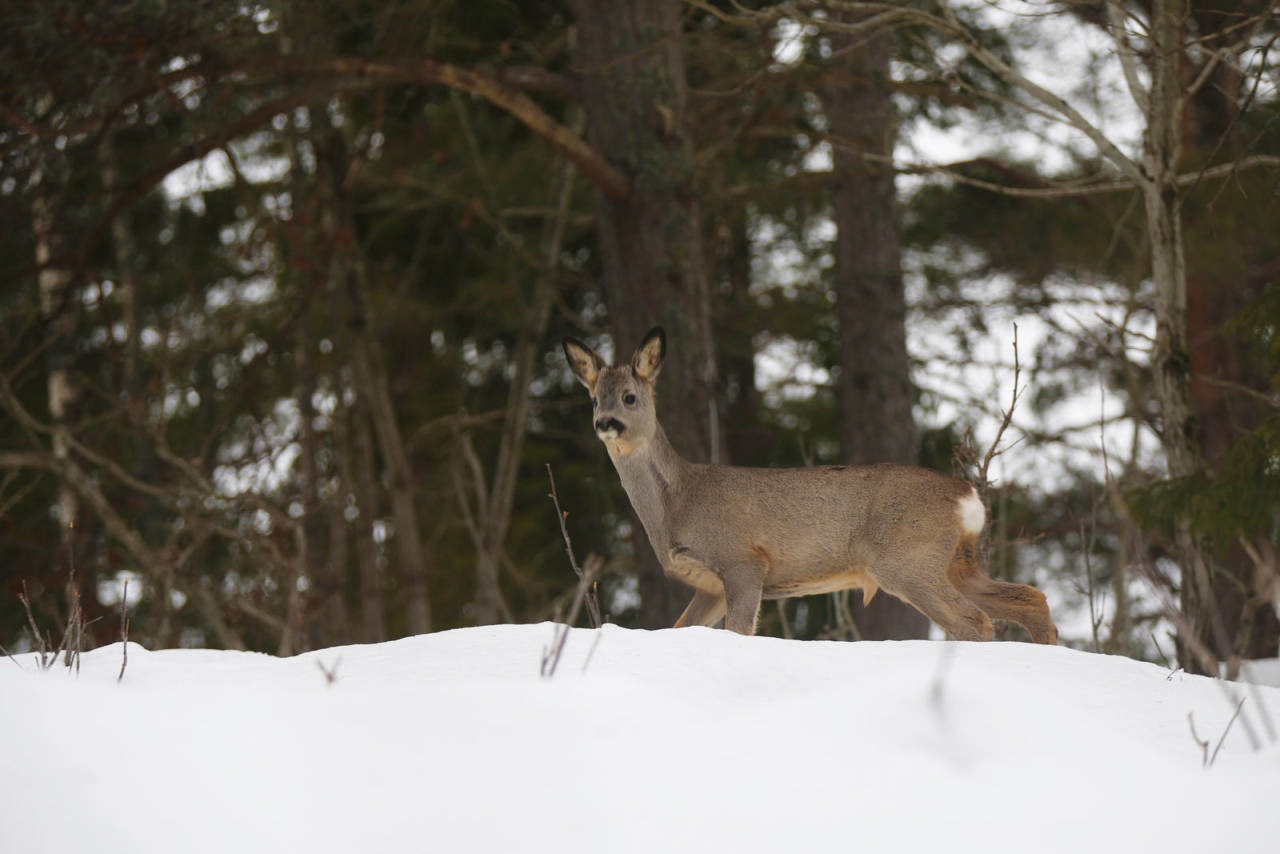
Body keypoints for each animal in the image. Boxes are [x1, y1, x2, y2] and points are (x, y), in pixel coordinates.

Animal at [563, 325, 1059, 640]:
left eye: (630, 397)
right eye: (594, 398)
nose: (606, 423)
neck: (678, 503)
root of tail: (968, 496)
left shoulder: (742, 562)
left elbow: (740, 632)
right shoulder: (708, 585)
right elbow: (681, 630)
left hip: (906, 558)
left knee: (973, 620)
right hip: (956, 562)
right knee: (1030, 598)